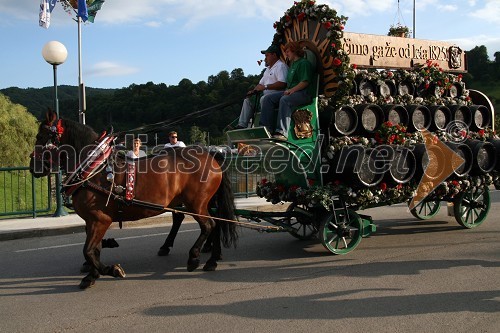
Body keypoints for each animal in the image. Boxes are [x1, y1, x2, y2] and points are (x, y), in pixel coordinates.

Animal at [30, 109, 237, 288]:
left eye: (40, 137)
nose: (32, 166)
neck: (93, 167)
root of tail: (211, 155)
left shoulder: (100, 219)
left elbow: (88, 250)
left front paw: (111, 269)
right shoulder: (92, 221)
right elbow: (94, 249)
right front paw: (92, 275)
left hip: (196, 203)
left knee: (209, 225)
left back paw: (194, 257)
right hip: (199, 203)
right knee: (215, 225)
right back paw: (211, 260)